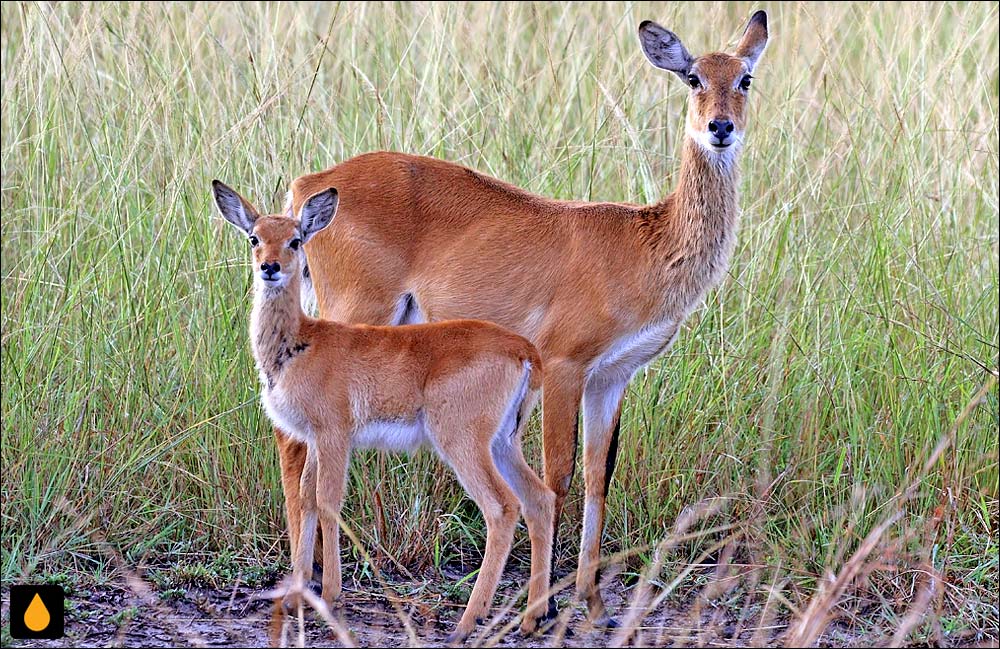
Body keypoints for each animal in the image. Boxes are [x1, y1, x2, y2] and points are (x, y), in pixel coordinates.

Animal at [211, 180, 556, 640]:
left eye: (295, 239)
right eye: (254, 237)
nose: (270, 267)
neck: (300, 343)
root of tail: (525, 351)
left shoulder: (334, 435)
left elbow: (327, 500)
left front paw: (331, 594)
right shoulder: (314, 438)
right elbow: (304, 497)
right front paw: (298, 593)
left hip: (462, 441)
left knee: (502, 509)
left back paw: (467, 622)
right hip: (504, 441)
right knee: (540, 499)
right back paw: (532, 617)